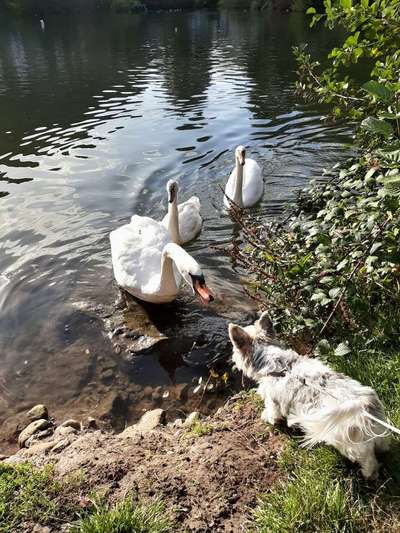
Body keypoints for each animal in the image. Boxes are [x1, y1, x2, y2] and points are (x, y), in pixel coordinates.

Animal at [230, 312, 390, 478]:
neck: (276, 362)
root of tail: (365, 404)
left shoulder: (272, 401)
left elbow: (272, 413)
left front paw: (266, 417)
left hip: (353, 446)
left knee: (369, 463)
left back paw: (367, 475)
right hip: (379, 435)